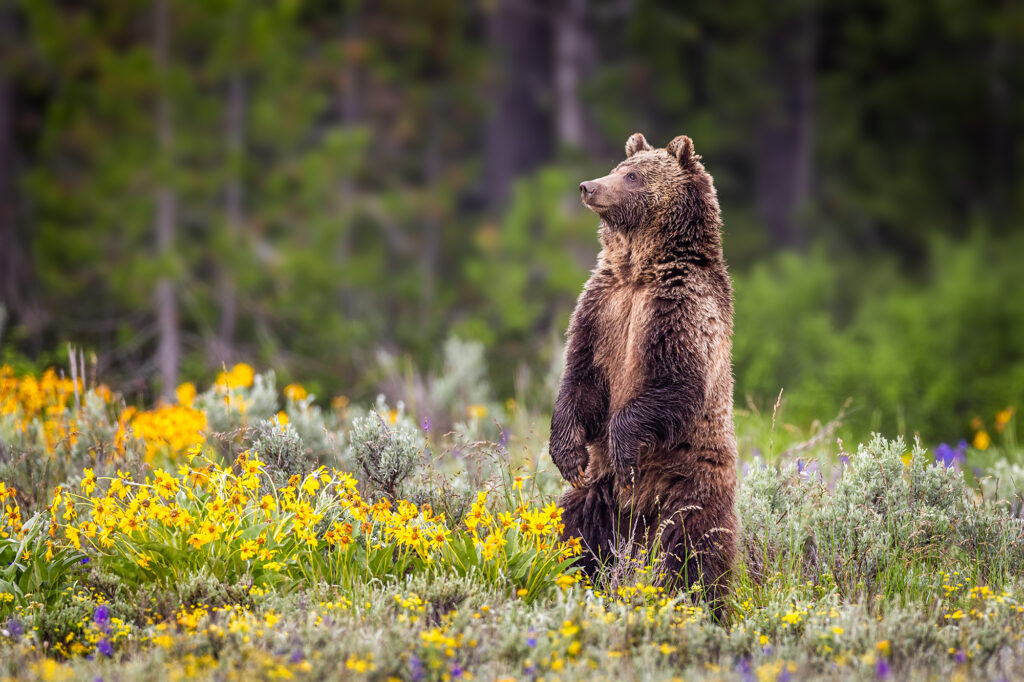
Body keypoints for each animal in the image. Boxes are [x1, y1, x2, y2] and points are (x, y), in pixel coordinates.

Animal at [549, 132, 738, 617]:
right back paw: (568, 575)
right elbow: (580, 376)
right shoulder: (602, 308)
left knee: (694, 549)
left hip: (690, 486)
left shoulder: (680, 310)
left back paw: (702, 605)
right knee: (576, 530)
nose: (588, 186)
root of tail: (637, 514)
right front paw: (567, 453)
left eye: (632, 176)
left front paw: (623, 448)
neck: (639, 270)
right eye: (618, 167)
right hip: (600, 498)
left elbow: (675, 382)